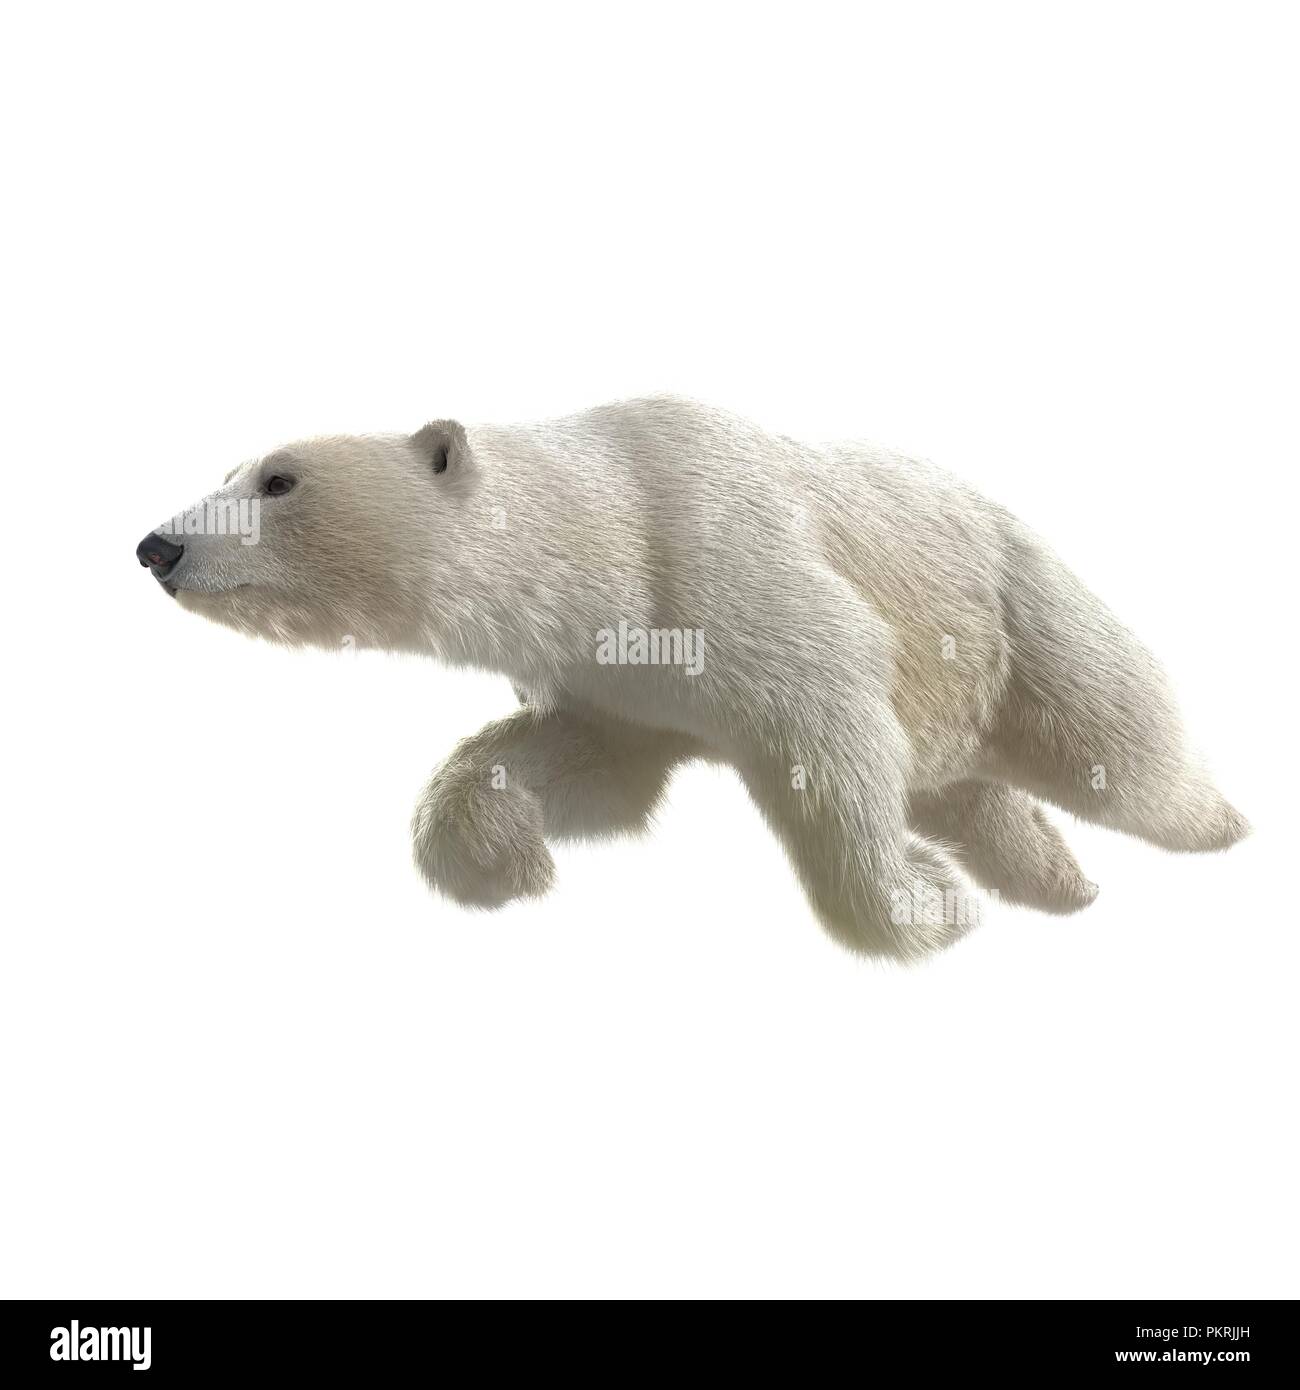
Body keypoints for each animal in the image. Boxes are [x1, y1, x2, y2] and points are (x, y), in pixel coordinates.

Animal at [136, 395, 1248, 960]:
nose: (158, 545)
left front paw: (919, 907)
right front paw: (503, 858)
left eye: (279, 479)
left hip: (1019, 610)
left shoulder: (722, 562)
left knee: (1116, 742)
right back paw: (1058, 879)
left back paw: (1216, 823)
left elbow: (830, 731)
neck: (617, 520)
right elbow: (589, 769)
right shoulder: (616, 668)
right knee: (966, 785)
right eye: (231, 467)